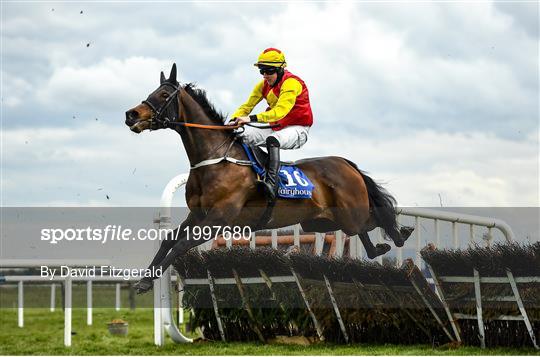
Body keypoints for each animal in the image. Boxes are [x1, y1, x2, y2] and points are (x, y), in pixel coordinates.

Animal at [125, 64, 414, 292]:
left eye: (163, 94)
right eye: (151, 93)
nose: (131, 115)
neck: (216, 158)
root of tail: (346, 163)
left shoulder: (218, 219)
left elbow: (181, 245)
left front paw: (147, 280)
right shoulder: (197, 215)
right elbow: (169, 239)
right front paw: (145, 279)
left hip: (348, 214)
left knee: (373, 221)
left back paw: (401, 234)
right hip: (320, 222)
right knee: (364, 231)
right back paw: (385, 245)